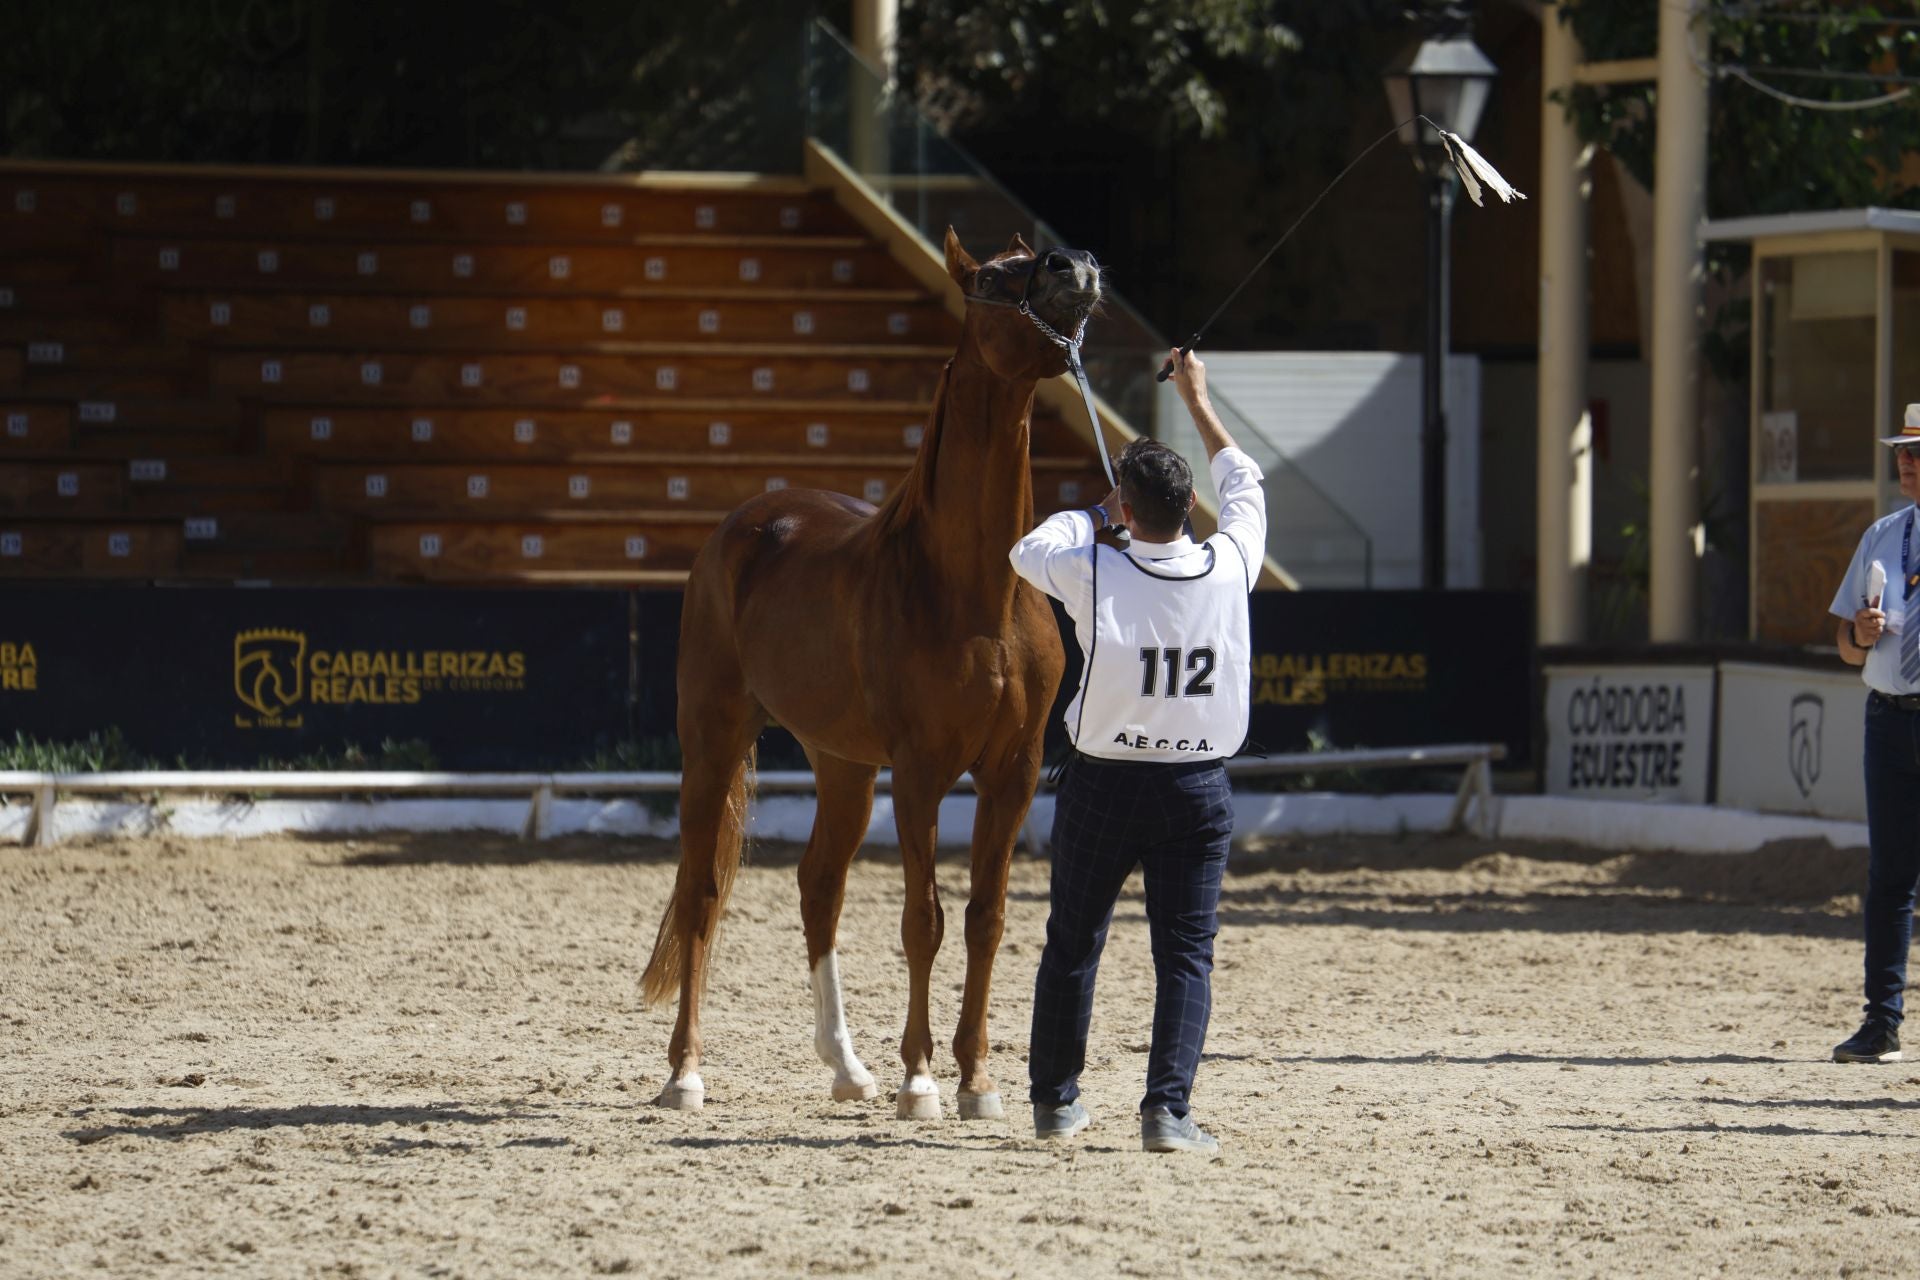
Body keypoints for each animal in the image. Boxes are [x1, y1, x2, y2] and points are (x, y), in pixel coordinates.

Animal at [640, 228, 1101, 1121]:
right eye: (992, 279)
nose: (1077, 265)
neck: (975, 588)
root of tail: (745, 525)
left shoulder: (1015, 771)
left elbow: (986, 918)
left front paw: (977, 1081)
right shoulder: (921, 771)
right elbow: (923, 919)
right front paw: (920, 1082)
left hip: (843, 765)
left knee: (820, 887)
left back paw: (847, 1069)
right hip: (712, 740)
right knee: (702, 893)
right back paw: (685, 1074)